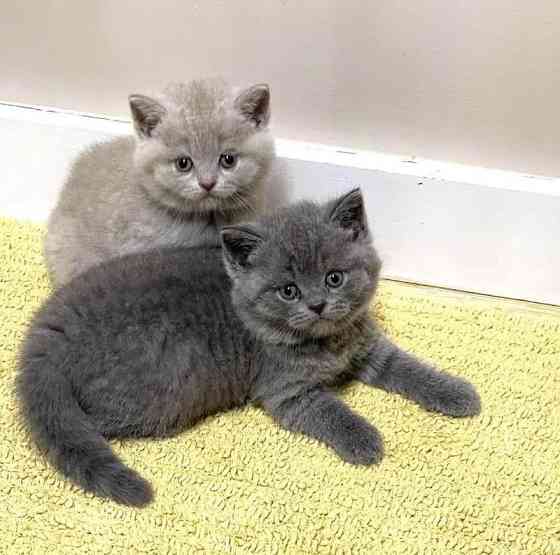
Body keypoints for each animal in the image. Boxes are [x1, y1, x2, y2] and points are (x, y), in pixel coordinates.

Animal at [18, 190, 482, 508]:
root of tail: (44, 335)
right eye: (289, 290)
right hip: (164, 390)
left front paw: (457, 393)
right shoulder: (286, 393)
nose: (318, 304)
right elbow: (333, 412)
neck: (327, 343)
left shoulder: (367, 347)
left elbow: (408, 367)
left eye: (334, 278)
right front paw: (365, 439)